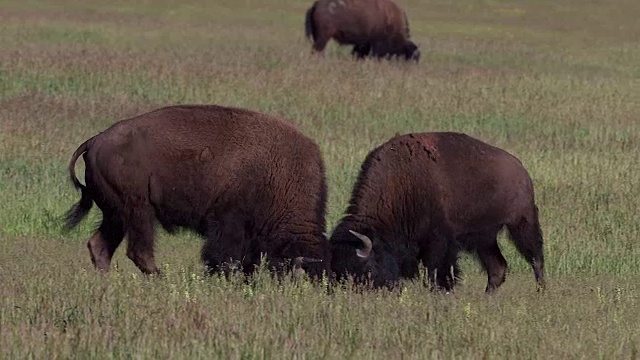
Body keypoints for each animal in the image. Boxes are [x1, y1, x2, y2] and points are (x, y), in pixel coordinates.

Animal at [63, 104, 330, 278]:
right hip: (139, 210)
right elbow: (224, 256)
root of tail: (95, 141)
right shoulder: (229, 222)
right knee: (138, 250)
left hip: (115, 215)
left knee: (100, 245)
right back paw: (161, 279)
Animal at [330, 132, 544, 292]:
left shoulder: (439, 241)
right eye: (337, 269)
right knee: (497, 267)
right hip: (484, 239)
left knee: (535, 258)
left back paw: (540, 290)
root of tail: (520, 169)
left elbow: (438, 272)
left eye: (365, 267)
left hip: (521, 224)